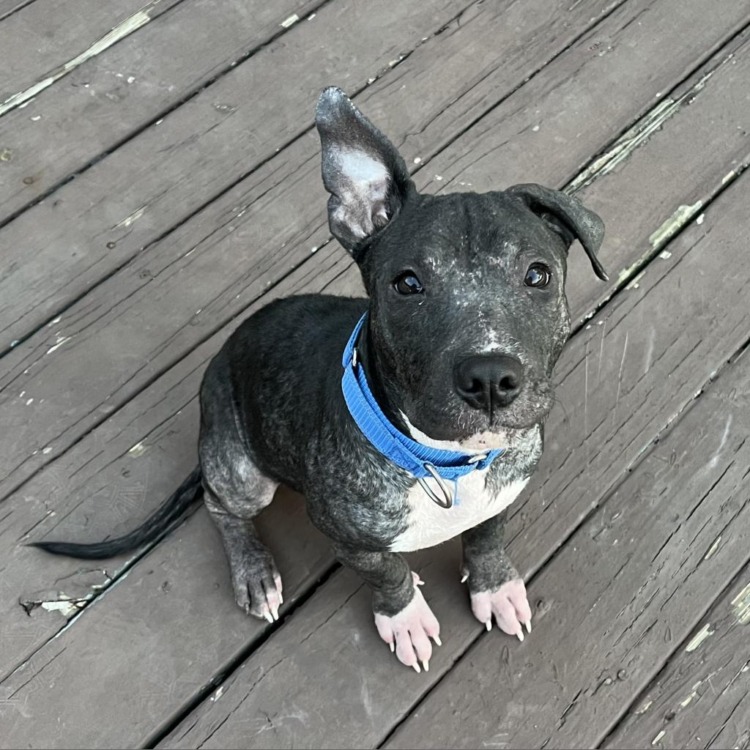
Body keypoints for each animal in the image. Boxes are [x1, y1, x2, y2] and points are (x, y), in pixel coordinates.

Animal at [36, 88, 612, 676]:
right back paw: (254, 572)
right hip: (241, 469)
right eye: (407, 284)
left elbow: (488, 535)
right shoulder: (344, 537)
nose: (491, 377)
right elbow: (385, 573)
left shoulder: (504, 493)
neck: (445, 464)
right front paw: (403, 618)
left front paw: (494, 585)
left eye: (538, 275)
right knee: (220, 507)